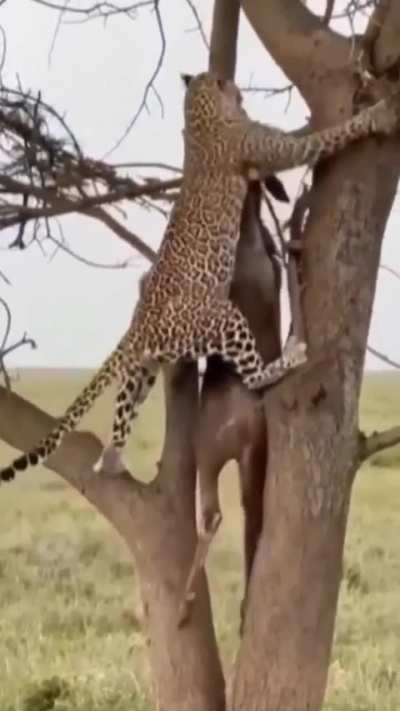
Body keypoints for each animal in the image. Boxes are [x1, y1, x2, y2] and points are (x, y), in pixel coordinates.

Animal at [1, 70, 399, 483]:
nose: (239, 94)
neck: (199, 114)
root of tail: (137, 327)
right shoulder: (268, 145)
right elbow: (321, 139)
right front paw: (376, 114)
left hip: (144, 367)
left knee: (126, 408)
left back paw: (111, 461)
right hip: (221, 319)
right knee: (253, 377)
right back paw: (290, 355)